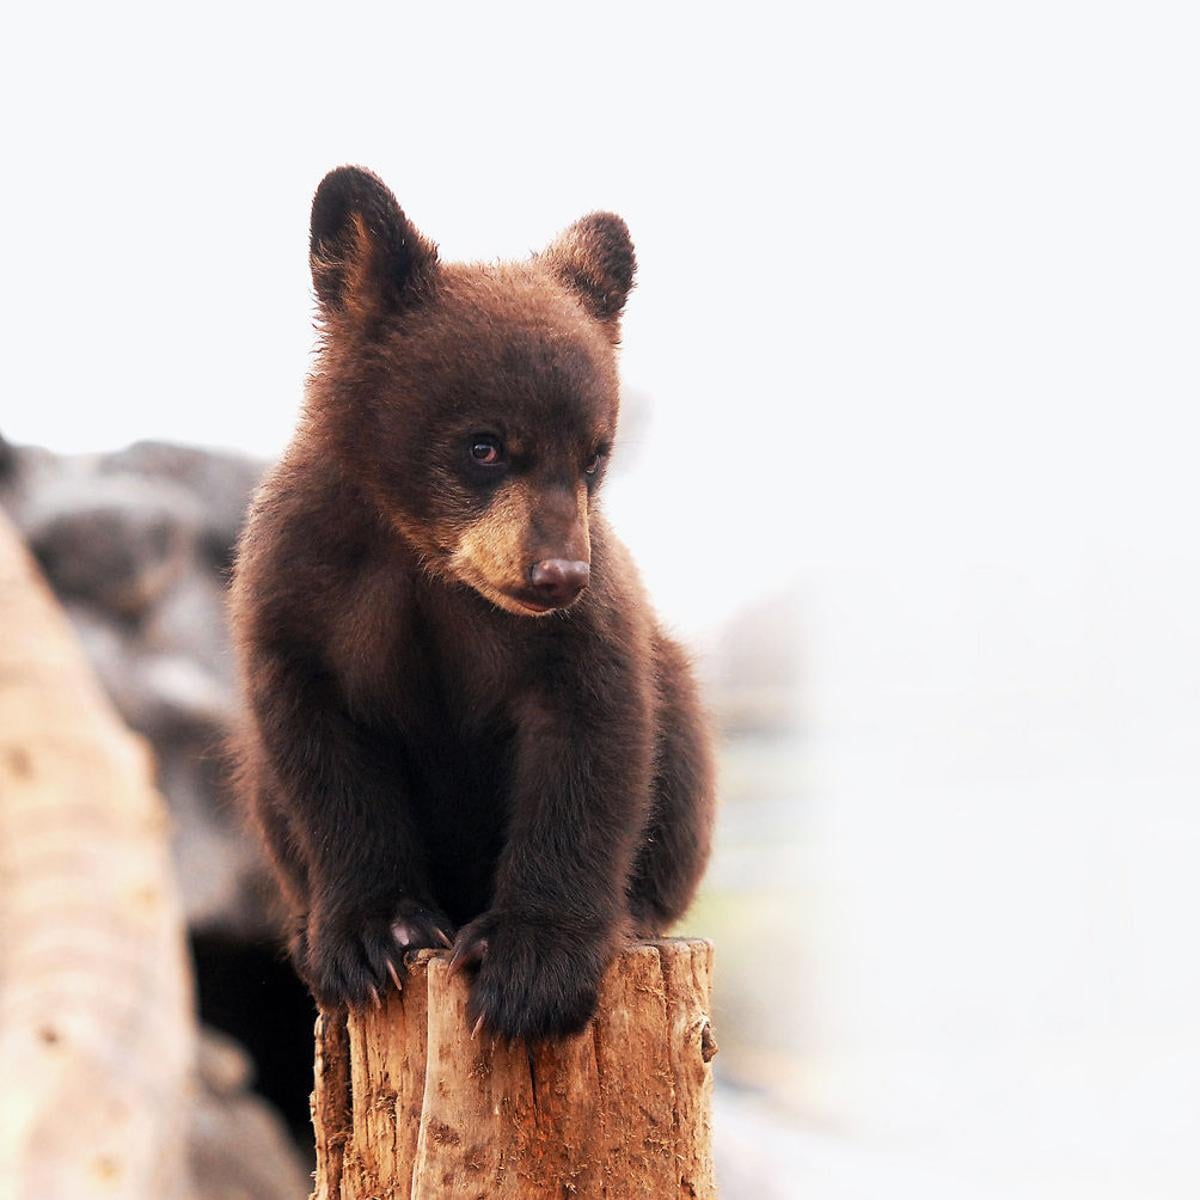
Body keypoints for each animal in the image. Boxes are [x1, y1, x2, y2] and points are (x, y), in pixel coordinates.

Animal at [228, 166, 715, 1042]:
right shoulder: (298, 595)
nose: (559, 575)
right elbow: (322, 758)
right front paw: (372, 940)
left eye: (592, 456)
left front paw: (530, 969)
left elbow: (590, 746)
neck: (426, 562)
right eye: (484, 445)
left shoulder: (577, 637)